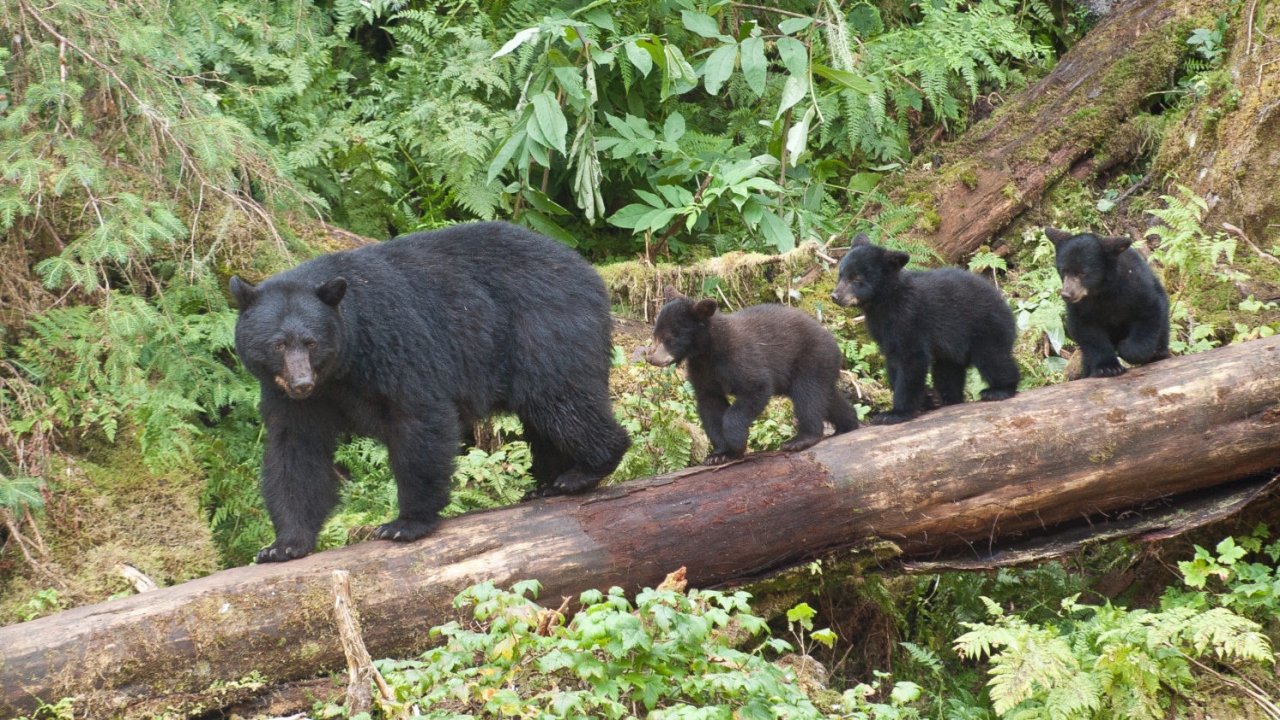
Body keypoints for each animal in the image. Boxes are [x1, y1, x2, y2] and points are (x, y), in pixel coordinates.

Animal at [229, 221, 631, 563]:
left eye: (311, 342)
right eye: (278, 344)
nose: (301, 383)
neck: (342, 367)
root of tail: (590, 274)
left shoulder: (394, 342)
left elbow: (418, 418)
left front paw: (405, 523)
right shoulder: (293, 399)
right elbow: (296, 451)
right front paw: (284, 544)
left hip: (544, 331)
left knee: (563, 401)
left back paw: (584, 470)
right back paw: (550, 483)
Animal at [644, 286, 858, 465]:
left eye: (670, 337)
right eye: (655, 333)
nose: (650, 358)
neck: (708, 350)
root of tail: (834, 343)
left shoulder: (740, 358)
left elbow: (756, 388)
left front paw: (736, 442)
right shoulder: (703, 371)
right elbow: (710, 404)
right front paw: (719, 454)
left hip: (811, 359)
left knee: (808, 396)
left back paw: (801, 439)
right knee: (827, 398)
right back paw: (848, 424)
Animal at [830, 233, 1020, 424]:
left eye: (856, 278)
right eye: (841, 275)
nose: (835, 296)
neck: (886, 301)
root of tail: (1005, 304)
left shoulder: (909, 320)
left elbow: (911, 360)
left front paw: (895, 413)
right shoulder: (883, 331)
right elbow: (893, 363)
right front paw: (928, 398)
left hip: (985, 327)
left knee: (993, 358)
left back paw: (999, 390)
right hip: (951, 352)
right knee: (948, 372)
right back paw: (946, 398)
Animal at [1045, 227, 1171, 379]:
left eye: (1083, 273)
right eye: (1063, 270)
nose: (1067, 294)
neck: (1101, 291)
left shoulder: (1135, 288)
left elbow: (1149, 314)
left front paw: (1127, 349)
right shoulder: (1081, 307)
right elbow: (1088, 331)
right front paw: (1108, 368)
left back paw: (1159, 353)